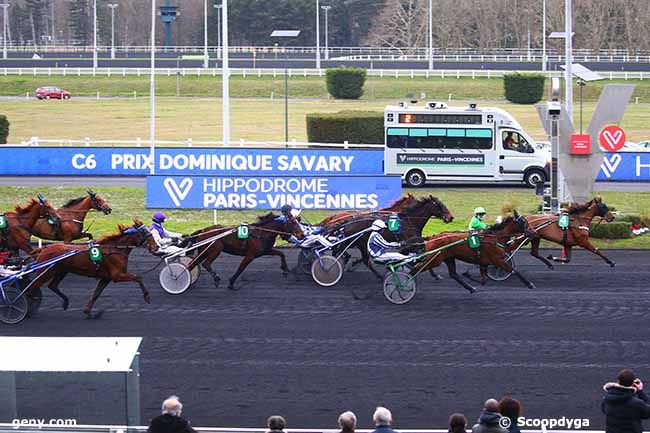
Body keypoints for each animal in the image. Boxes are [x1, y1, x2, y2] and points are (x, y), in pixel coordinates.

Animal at [31, 219, 159, 318]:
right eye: (145, 232)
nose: (156, 246)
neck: (115, 249)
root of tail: (44, 248)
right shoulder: (117, 275)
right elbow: (138, 277)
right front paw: (147, 297)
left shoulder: (106, 278)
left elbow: (96, 293)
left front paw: (88, 312)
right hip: (46, 272)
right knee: (33, 286)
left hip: (61, 271)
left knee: (52, 286)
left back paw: (66, 302)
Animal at [404, 213, 536, 294]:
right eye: (524, 223)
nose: (534, 232)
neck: (495, 237)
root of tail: (432, 237)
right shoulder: (497, 260)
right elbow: (514, 270)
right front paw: (529, 284)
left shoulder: (484, 263)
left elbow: (484, 279)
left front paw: (470, 276)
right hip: (435, 259)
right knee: (415, 270)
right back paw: (406, 285)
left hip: (448, 258)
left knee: (453, 274)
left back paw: (471, 288)